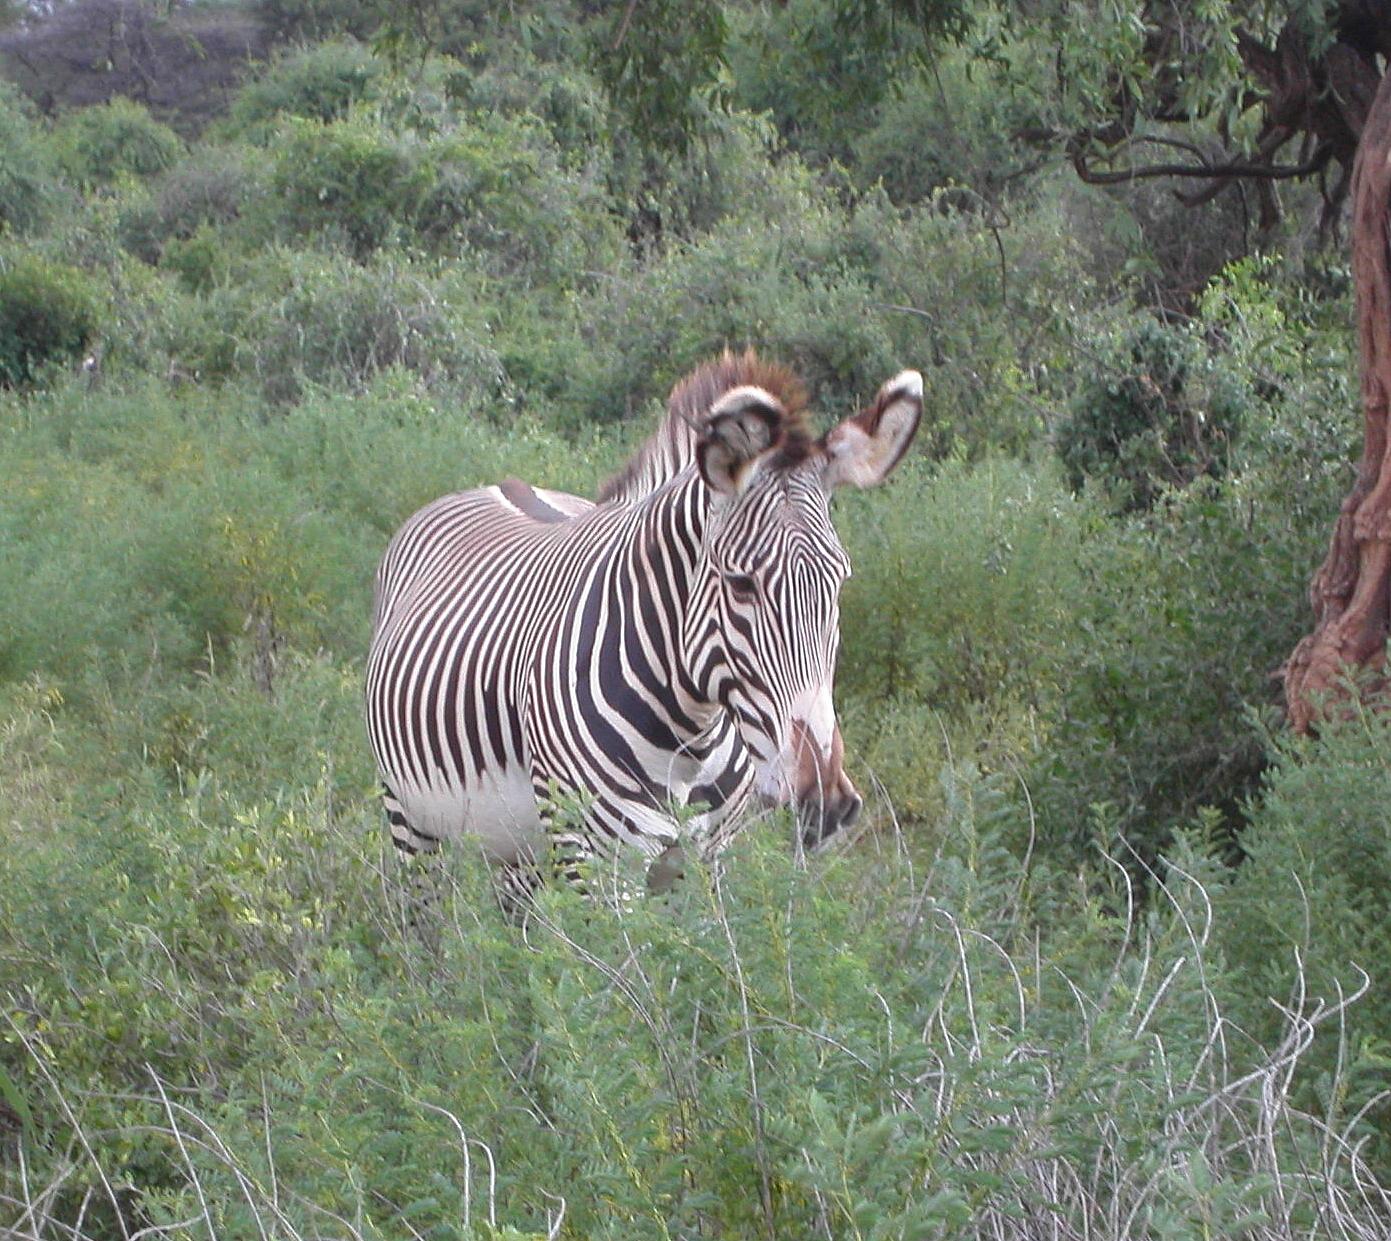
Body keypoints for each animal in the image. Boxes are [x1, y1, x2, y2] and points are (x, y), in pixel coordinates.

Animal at [365, 351, 922, 898]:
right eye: (741, 583)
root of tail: (494, 485)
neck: (692, 736)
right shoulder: (596, 865)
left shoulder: (708, 861)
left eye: (840, 580)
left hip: (518, 846)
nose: (824, 802)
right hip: (411, 821)